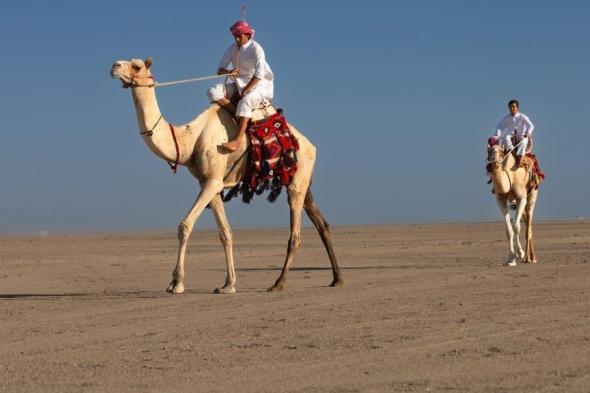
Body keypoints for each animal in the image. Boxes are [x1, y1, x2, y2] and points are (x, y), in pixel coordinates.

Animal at [111, 57, 344, 290]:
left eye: (137, 65)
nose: (114, 66)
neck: (190, 138)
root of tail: (310, 145)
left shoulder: (213, 181)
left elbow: (185, 226)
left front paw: (176, 283)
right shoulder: (209, 183)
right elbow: (225, 233)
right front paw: (228, 284)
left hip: (298, 179)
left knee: (295, 234)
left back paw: (278, 283)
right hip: (302, 179)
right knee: (321, 223)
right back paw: (337, 278)